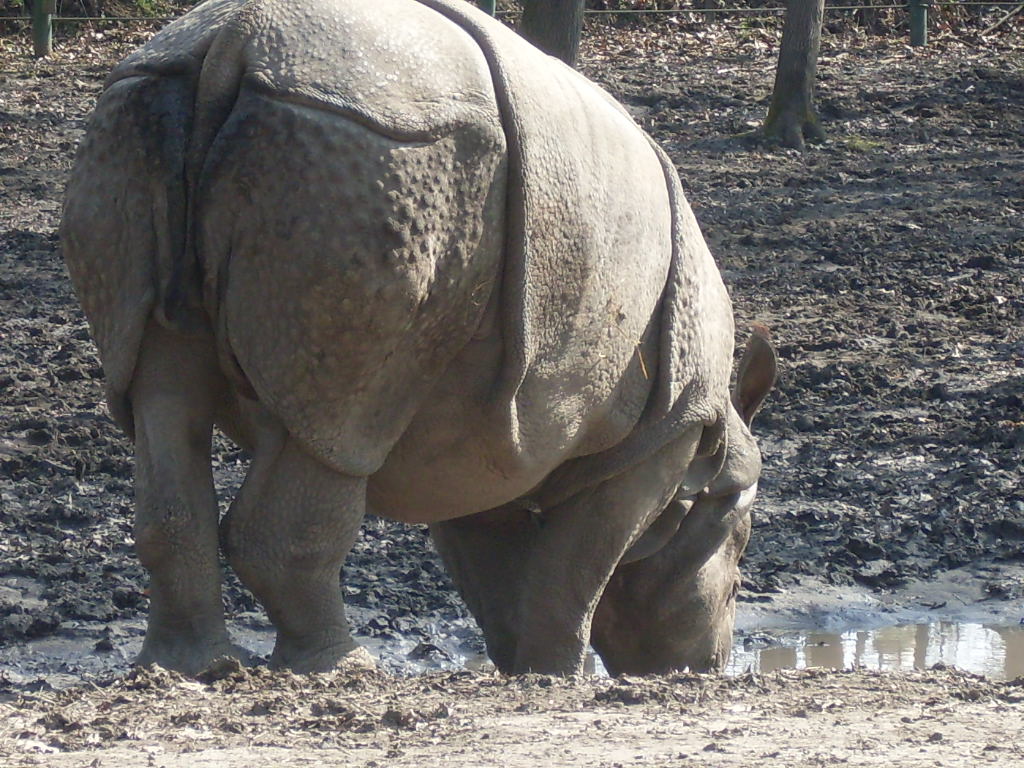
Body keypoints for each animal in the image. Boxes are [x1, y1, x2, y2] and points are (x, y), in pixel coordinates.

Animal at [61, 0, 776, 677]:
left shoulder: (476, 447)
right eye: (738, 564)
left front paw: (520, 671)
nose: (706, 664)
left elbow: (502, 573)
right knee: (344, 421)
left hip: (144, 112)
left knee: (163, 390)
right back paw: (343, 670)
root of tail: (235, 39)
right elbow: (578, 570)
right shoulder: (664, 432)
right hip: (385, 158)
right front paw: (561, 678)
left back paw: (189, 668)